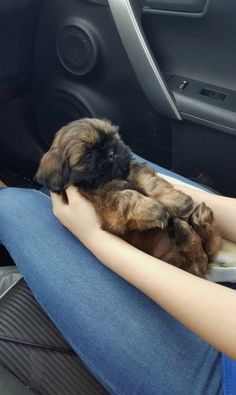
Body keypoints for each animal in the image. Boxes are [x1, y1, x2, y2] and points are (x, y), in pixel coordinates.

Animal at [36, 119, 222, 276]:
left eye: (112, 138)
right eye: (88, 155)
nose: (112, 152)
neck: (112, 178)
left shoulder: (135, 170)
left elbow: (150, 183)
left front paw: (177, 202)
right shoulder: (107, 208)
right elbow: (127, 196)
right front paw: (154, 209)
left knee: (206, 248)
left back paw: (199, 220)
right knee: (199, 253)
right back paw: (188, 229)